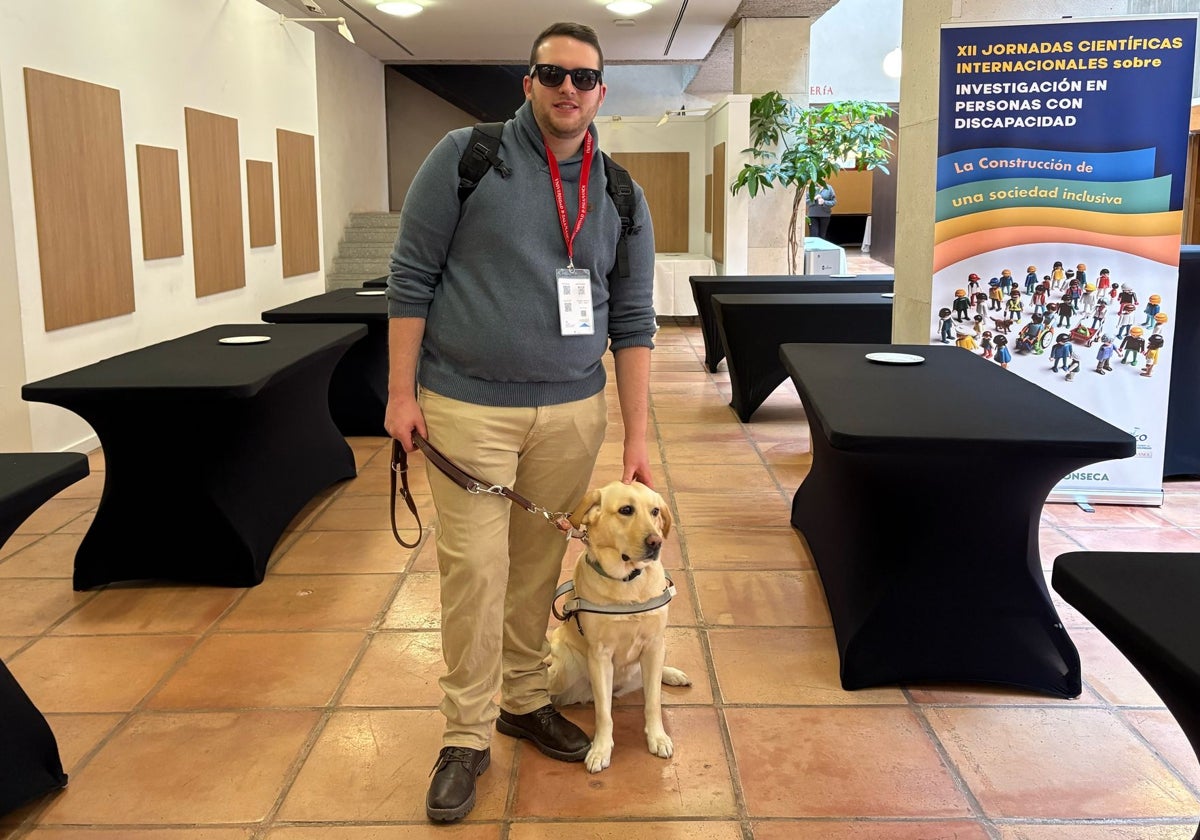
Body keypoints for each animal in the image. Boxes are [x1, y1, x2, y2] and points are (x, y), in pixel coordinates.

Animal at [549, 480, 691, 772]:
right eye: (626, 510)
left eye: (655, 511)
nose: (656, 542)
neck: (628, 582)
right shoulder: (600, 655)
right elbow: (604, 712)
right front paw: (600, 750)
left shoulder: (653, 645)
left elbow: (653, 702)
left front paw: (658, 737)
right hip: (563, 668)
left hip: (657, 651)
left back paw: (672, 674)